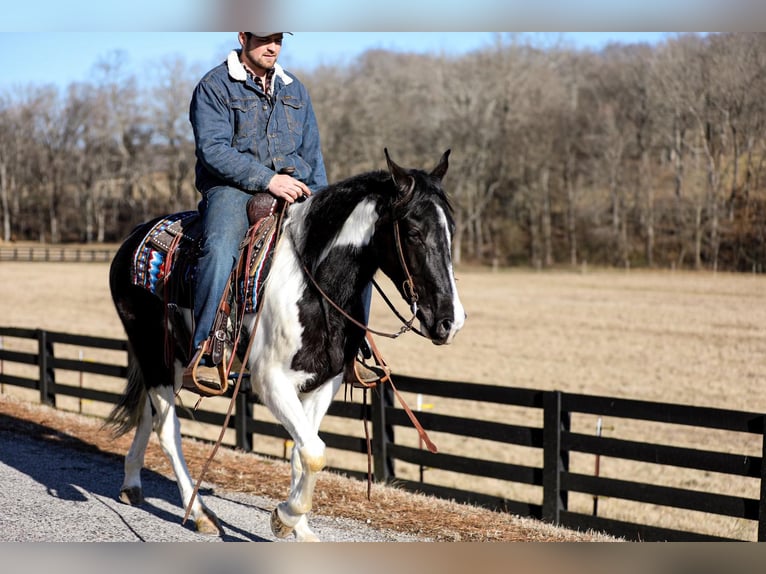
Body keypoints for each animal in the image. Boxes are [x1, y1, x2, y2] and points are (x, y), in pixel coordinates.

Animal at [106, 150, 468, 544]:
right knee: (167, 429)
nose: (450, 321)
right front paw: (283, 518)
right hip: (153, 350)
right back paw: (200, 513)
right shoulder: (272, 382)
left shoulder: (324, 383)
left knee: (148, 414)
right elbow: (314, 452)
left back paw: (131, 483)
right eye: (414, 233)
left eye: (451, 232)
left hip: (166, 359)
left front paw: (301, 529)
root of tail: (134, 239)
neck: (313, 283)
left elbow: (301, 452)